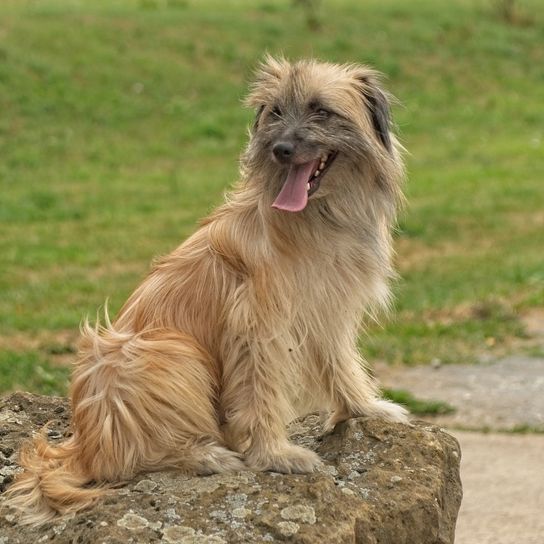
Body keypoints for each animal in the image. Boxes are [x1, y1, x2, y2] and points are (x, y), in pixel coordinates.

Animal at [5, 57, 408, 524]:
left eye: (320, 110)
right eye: (275, 112)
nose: (281, 149)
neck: (318, 216)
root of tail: (83, 445)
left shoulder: (327, 311)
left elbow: (341, 364)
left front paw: (366, 408)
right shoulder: (257, 324)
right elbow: (260, 389)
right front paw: (275, 454)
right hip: (164, 351)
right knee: (125, 460)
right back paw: (205, 455)